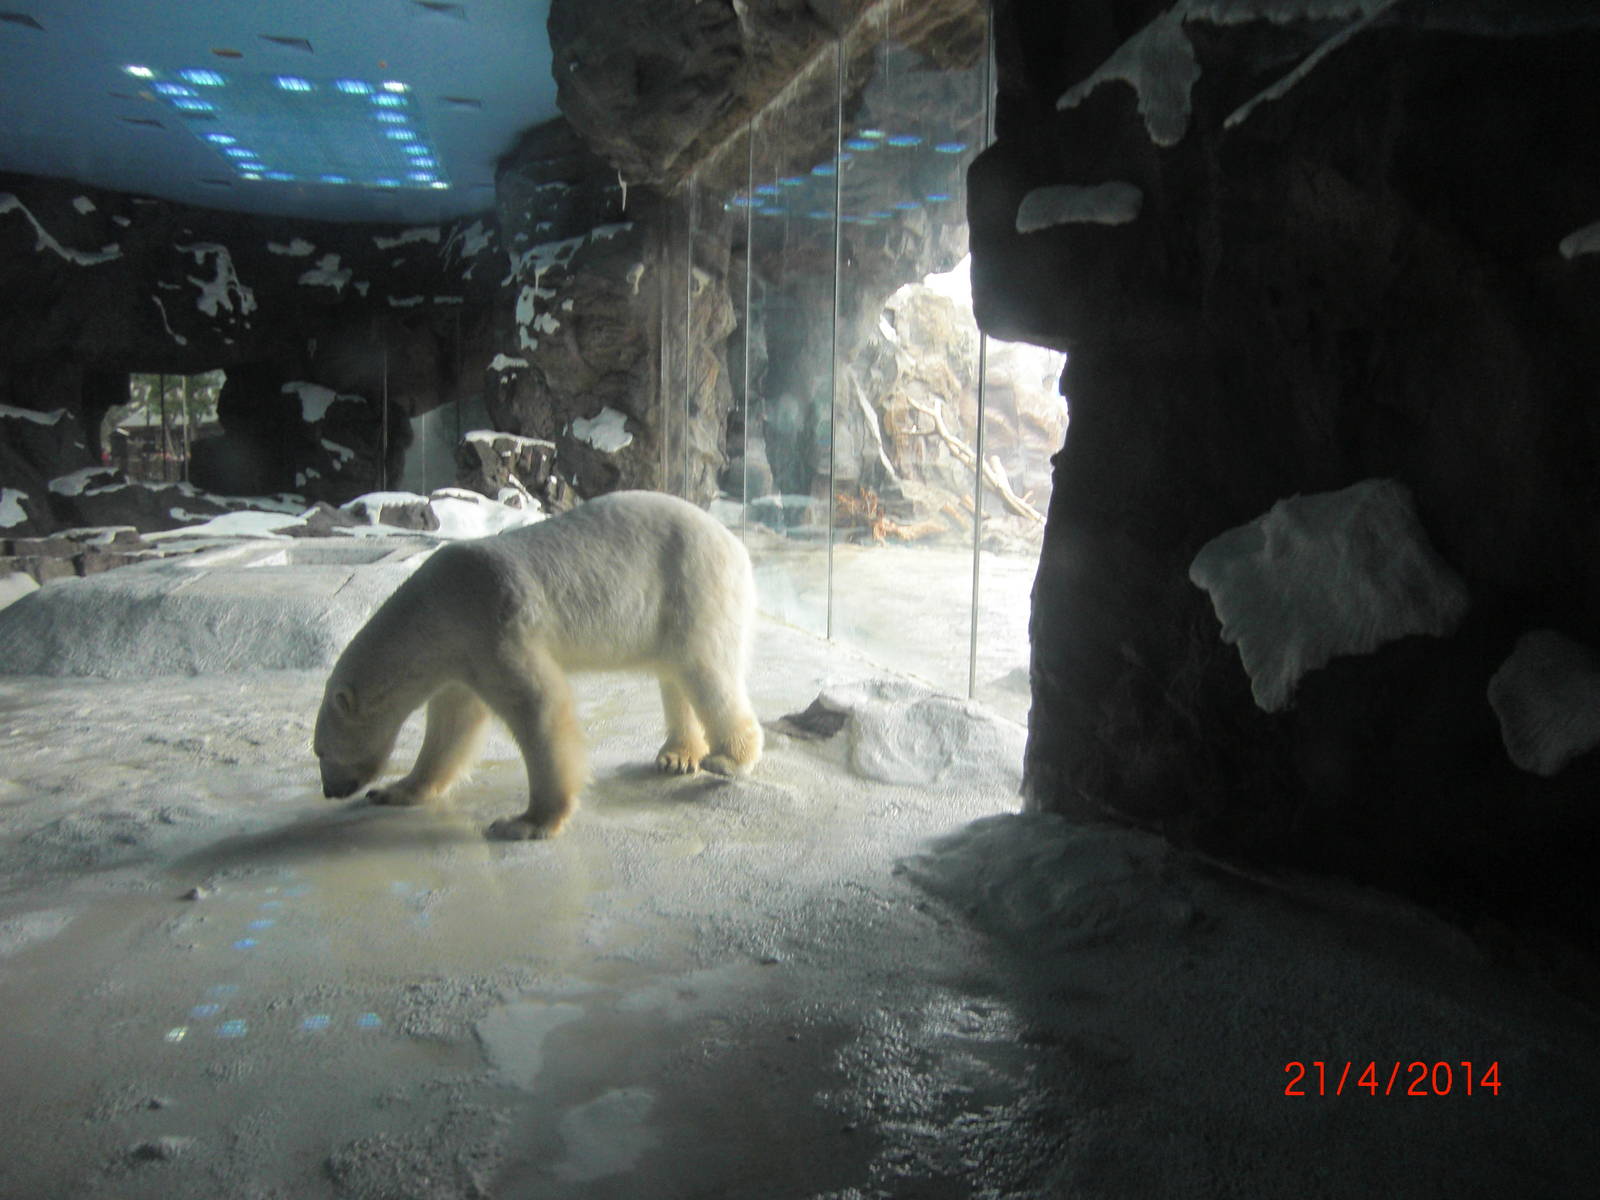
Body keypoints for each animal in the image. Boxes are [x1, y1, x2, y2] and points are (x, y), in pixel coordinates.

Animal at [313, 490, 763, 839]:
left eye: (321, 750)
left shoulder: (493, 622)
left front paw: (525, 822)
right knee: (675, 672)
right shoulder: (462, 654)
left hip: (693, 583)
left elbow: (540, 707)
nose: (330, 791)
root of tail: (734, 543)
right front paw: (395, 791)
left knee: (705, 669)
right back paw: (677, 754)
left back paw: (728, 759)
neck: (436, 607)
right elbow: (453, 725)